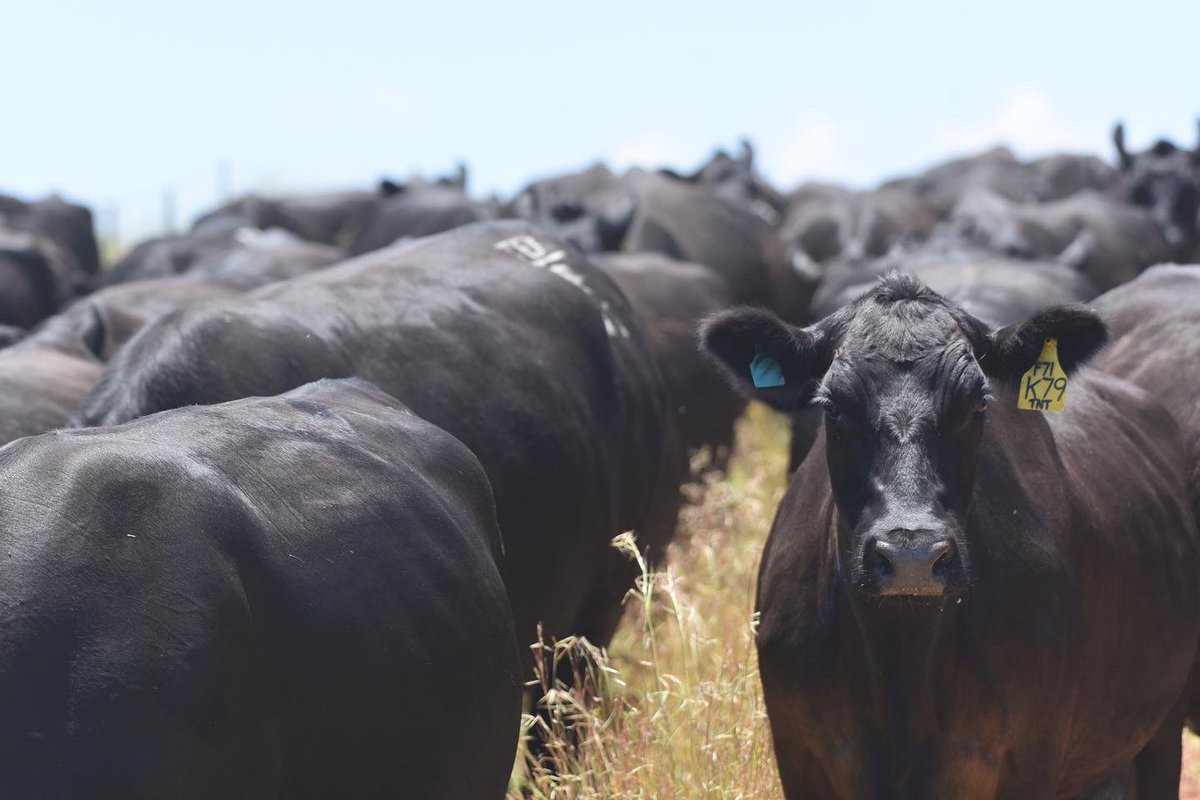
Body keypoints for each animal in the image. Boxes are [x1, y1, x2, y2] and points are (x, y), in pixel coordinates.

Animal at [701, 274, 1200, 798]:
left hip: (1158, 734)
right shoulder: (798, 755)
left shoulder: (1034, 756)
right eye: (832, 407)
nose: (912, 556)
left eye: (978, 403)